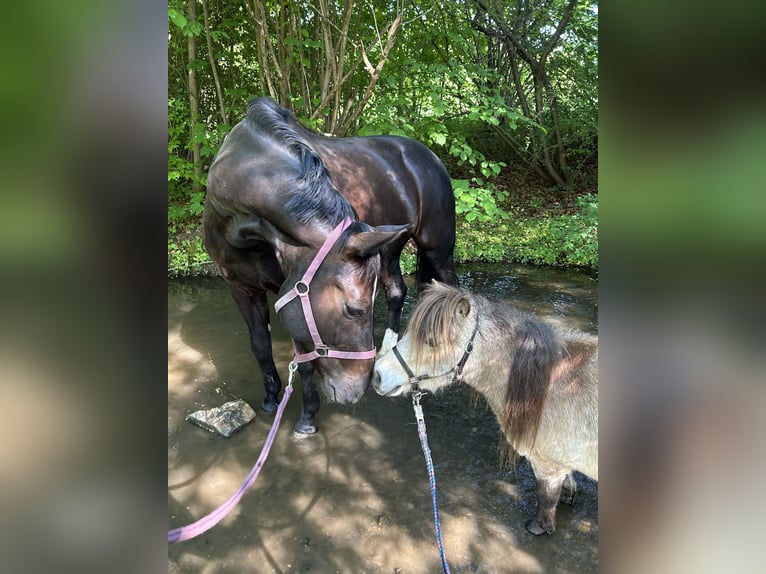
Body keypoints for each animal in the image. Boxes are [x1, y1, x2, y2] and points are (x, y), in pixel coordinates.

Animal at [204, 97, 458, 435]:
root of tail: (428, 155)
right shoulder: (241, 288)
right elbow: (260, 345)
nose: (358, 391)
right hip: (388, 248)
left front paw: (307, 418)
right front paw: (271, 399)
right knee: (396, 291)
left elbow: (305, 361)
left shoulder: (289, 291)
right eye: (353, 310)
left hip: (437, 249)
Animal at [372, 282, 598, 535]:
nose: (377, 375)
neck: (549, 384)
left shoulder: (548, 465)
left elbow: (546, 498)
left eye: (431, 341)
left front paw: (538, 527)